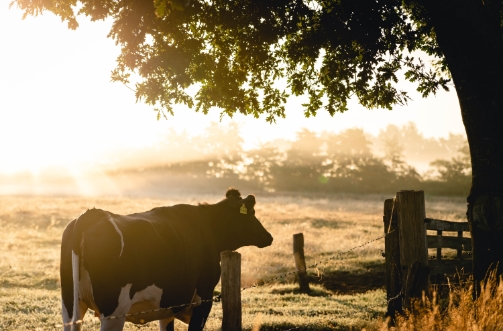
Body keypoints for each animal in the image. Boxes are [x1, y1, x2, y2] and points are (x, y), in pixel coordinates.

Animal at [60, 189, 274, 331]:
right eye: (251, 214)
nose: (269, 237)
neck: (207, 228)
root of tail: (92, 214)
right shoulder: (203, 299)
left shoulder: (168, 305)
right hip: (113, 311)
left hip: (70, 306)